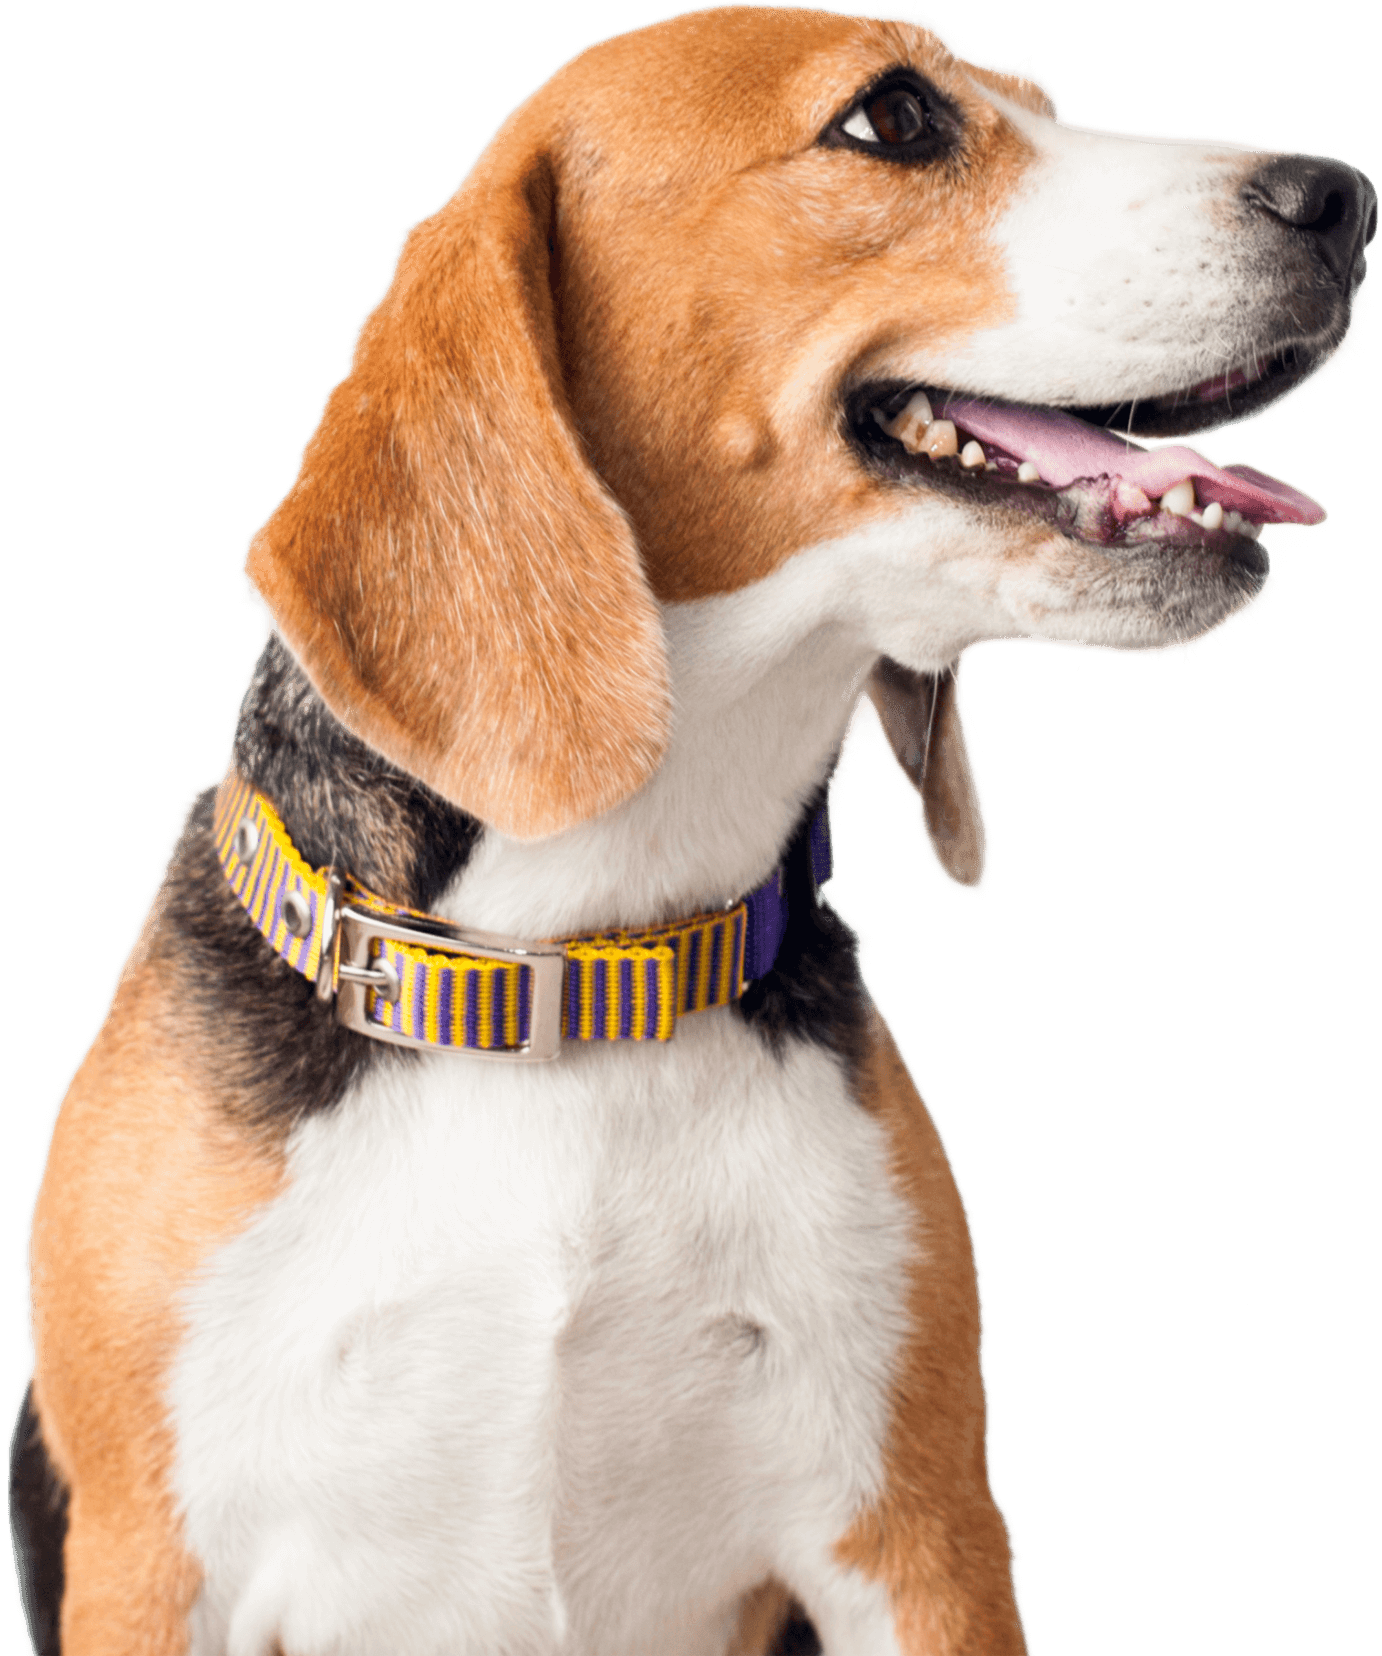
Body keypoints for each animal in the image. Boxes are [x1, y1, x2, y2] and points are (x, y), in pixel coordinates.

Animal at [13, 3, 1370, 1656]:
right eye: (893, 119)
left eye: (1038, 102)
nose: (1342, 199)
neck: (571, 970)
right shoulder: (153, 1568)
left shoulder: (922, 1541)